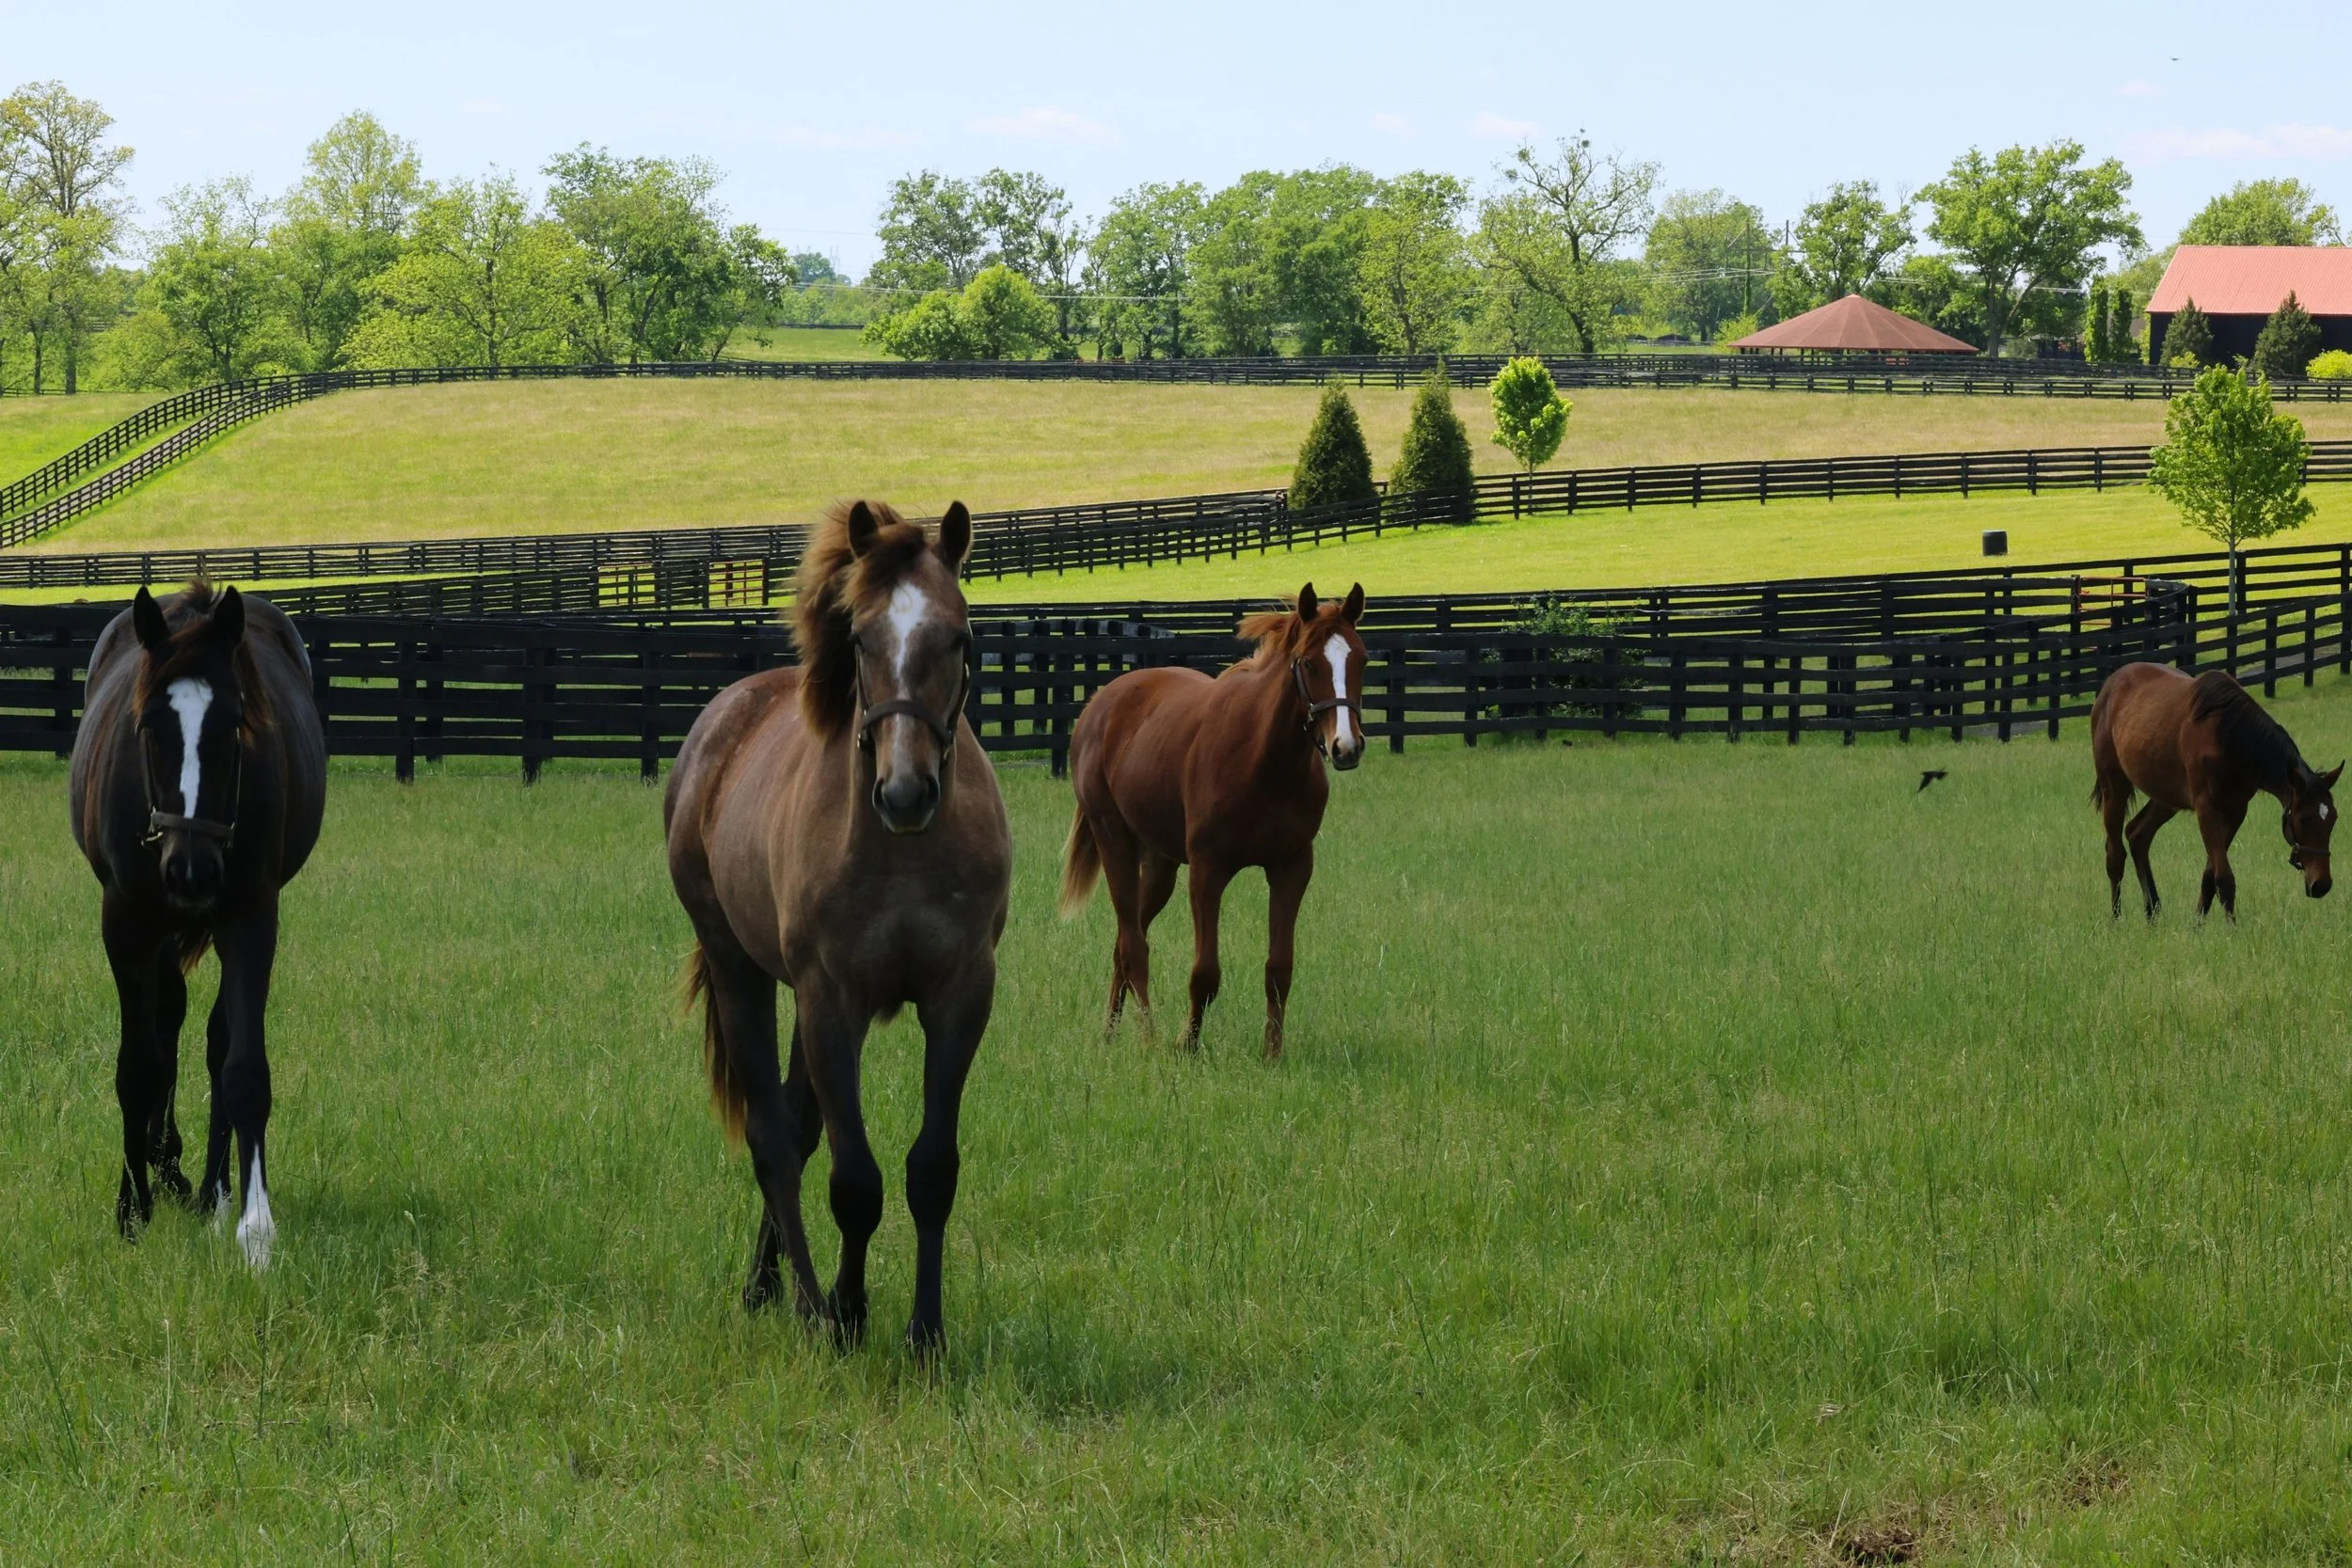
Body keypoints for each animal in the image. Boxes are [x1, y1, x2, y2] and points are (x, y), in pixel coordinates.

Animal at [68, 583, 326, 1265]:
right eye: (148, 725)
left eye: (233, 722)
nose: (191, 870)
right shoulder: (125, 919)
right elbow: (139, 1066)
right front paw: (131, 1208)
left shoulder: (252, 915)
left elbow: (243, 1068)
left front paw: (254, 1225)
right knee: (166, 1022)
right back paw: (166, 1167)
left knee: (210, 1038)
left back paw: (211, 1190)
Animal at [665, 500, 1011, 1354]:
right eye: (860, 639)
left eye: (958, 636)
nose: (906, 792)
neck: (905, 852)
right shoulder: (832, 1002)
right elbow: (855, 1179)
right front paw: (849, 1312)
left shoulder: (961, 998)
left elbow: (930, 1170)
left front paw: (926, 1333)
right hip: (742, 971)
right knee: (772, 1138)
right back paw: (802, 1300)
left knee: (794, 1126)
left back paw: (764, 1282)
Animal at [1059, 581, 1367, 1060]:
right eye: (1308, 662)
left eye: (1362, 660)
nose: (1346, 747)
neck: (1265, 761)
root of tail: (1099, 704)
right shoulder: (1208, 869)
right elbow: (1205, 972)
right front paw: (1186, 1045)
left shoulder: (1292, 867)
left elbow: (1279, 969)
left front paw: (1272, 1053)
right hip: (1115, 845)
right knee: (1133, 946)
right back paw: (1147, 1039)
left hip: (1160, 865)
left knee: (1122, 944)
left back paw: (1109, 1034)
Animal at [2091, 661, 2341, 920]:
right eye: (2302, 819)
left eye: (2333, 819)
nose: (2321, 885)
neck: (2228, 736)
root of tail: (2109, 686)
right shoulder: (2207, 809)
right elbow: (2224, 878)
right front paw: (2232, 926)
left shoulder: (2235, 811)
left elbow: (2210, 876)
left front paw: (2197, 924)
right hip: (2114, 788)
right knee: (2115, 855)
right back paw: (2116, 918)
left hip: (2167, 798)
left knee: (2138, 835)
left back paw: (2153, 913)